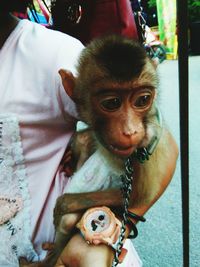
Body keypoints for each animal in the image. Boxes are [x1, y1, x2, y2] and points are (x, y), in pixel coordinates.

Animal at [20, 35, 177, 267]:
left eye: (142, 100)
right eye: (111, 103)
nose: (131, 131)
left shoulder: (149, 145)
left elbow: (138, 195)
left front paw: (63, 203)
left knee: (68, 220)